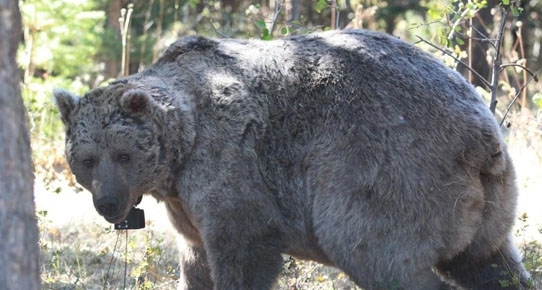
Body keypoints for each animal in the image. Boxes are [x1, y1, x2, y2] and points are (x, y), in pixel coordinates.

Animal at [54, 29, 532, 290]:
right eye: (87, 160)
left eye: (122, 154)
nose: (108, 203)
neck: (180, 152)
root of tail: (483, 132)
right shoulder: (185, 206)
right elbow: (195, 259)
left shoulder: (231, 167)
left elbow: (242, 252)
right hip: (488, 203)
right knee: (494, 264)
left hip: (389, 174)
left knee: (378, 254)